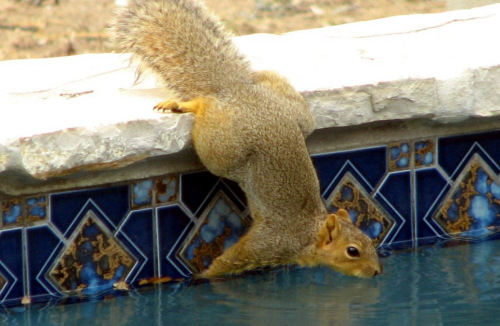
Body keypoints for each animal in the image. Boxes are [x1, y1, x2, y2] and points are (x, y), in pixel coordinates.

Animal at [111, 0, 380, 280]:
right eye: (352, 251)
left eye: (371, 242)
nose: (376, 271)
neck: (309, 234)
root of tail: (236, 90)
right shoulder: (270, 242)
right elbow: (230, 260)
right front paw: (203, 277)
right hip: (221, 146)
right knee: (205, 105)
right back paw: (185, 104)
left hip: (296, 113)